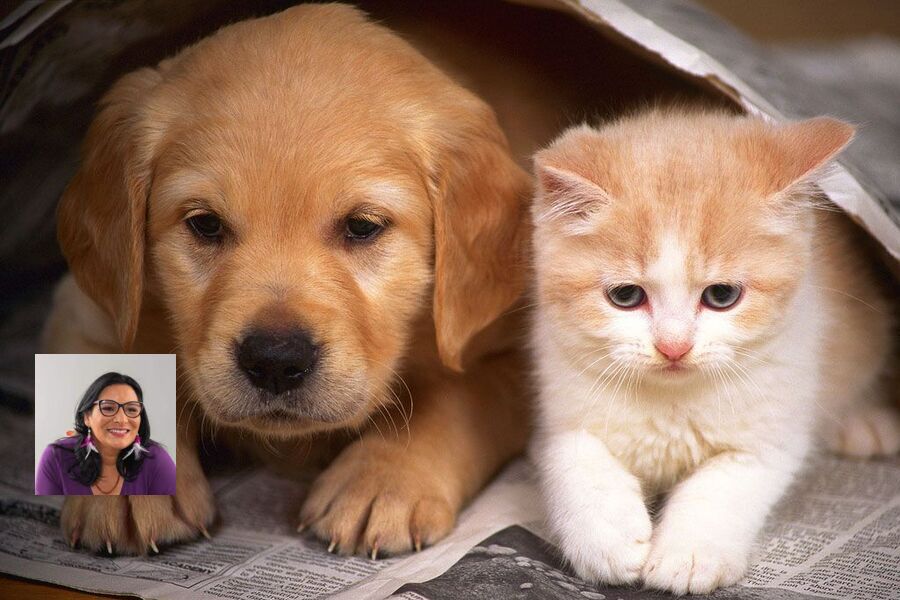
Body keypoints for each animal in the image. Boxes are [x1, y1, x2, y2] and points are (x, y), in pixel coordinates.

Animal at [45, 4, 532, 556]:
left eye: (362, 226)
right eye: (205, 224)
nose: (275, 362)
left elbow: (461, 396)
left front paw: (383, 480)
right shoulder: (84, 315)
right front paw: (127, 487)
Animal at [532, 109, 896, 596]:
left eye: (722, 295)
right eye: (626, 296)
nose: (673, 346)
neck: (671, 401)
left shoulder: (773, 429)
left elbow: (724, 484)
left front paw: (688, 553)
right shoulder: (555, 386)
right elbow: (570, 452)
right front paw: (603, 536)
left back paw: (865, 424)